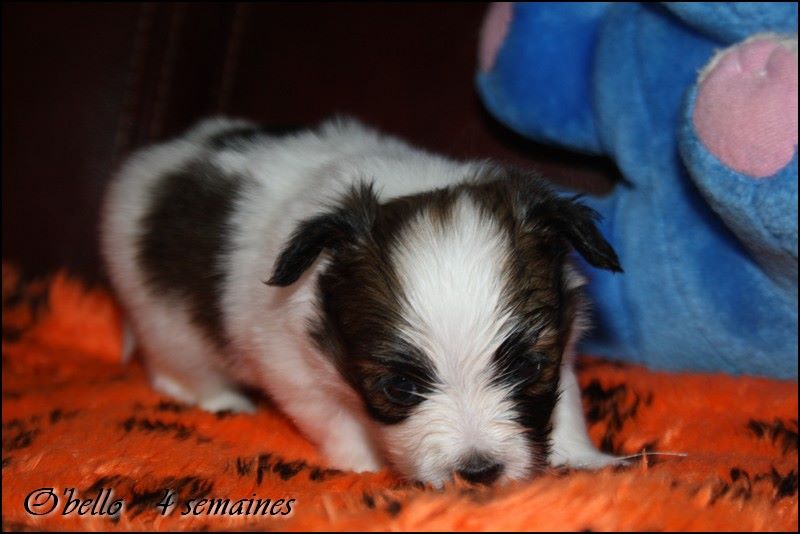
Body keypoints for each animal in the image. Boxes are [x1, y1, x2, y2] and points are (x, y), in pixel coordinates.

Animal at [101, 116, 623, 486]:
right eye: (399, 388)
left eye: (526, 369)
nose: (477, 474)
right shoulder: (296, 375)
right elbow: (339, 424)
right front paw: (366, 469)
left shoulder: (562, 345)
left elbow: (567, 402)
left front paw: (582, 457)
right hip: (165, 322)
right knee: (177, 370)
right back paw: (220, 400)